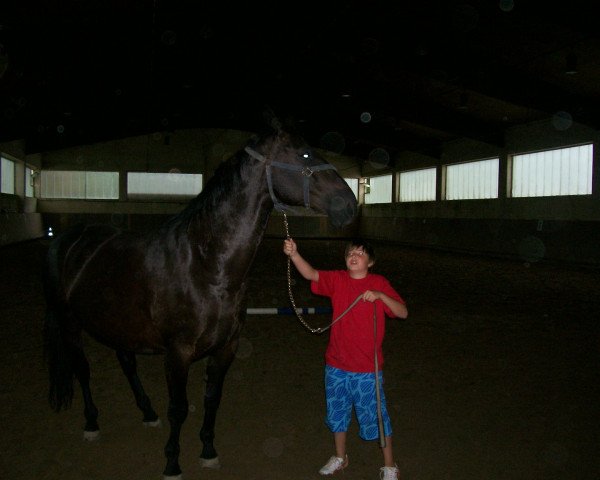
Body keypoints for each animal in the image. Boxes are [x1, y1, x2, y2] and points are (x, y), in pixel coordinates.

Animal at [44, 125, 358, 478]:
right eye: (305, 154)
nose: (349, 204)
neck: (205, 264)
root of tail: (66, 240)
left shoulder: (226, 348)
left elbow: (212, 399)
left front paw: (208, 450)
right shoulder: (178, 354)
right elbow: (179, 408)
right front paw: (172, 462)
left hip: (118, 326)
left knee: (127, 364)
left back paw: (147, 413)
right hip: (70, 324)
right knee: (82, 370)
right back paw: (91, 423)